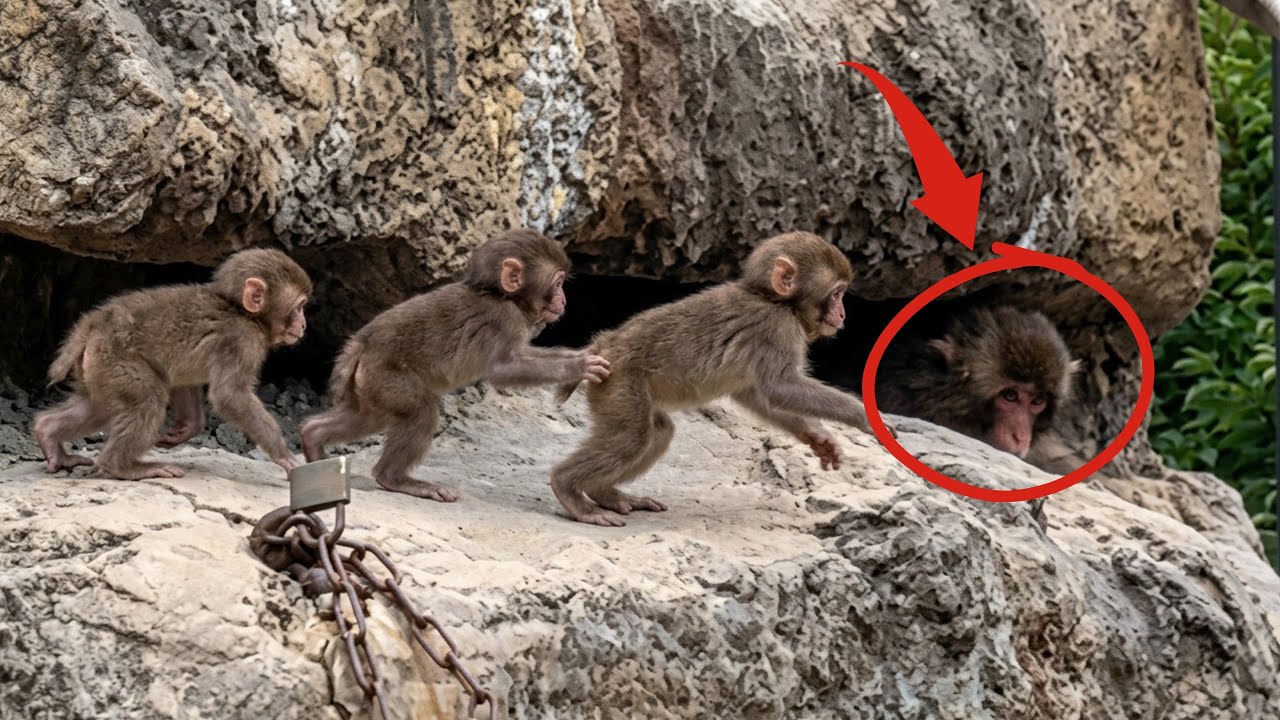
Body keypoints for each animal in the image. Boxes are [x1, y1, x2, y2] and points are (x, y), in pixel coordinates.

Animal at [33, 248, 312, 480]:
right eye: (299, 307)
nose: (303, 325)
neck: (241, 311)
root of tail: (95, 322)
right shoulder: (242, 340)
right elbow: (230, 395)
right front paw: (283, 455)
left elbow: (182, 380)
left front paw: (187, 429)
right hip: (114, 358)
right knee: (147, 399)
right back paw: (122, 467)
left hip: (95, 366)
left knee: (97, 406)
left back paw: (48, 433)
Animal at [299, 228, 610, 502]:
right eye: (557, 283)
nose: (564, 299)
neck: (499, 295)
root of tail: (363, 342)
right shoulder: (503, 319)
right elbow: (504, 369)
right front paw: (580, 366)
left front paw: (585, 354)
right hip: (385, 375)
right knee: (420, 411)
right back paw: (395, 479)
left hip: (368, 383)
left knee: (367, 417)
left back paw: (313, 441)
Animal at [549, 231, 885, 527]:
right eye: (837, 293)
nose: (842, 314)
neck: (774, 301)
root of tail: (605, 344)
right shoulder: (777, 329)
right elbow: (779, 388)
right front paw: (863, 415)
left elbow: (756, 395)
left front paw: (817, 437)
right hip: (619, 381)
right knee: (633, 437)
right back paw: (570, 491)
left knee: (657, 432)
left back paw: (603, 492)